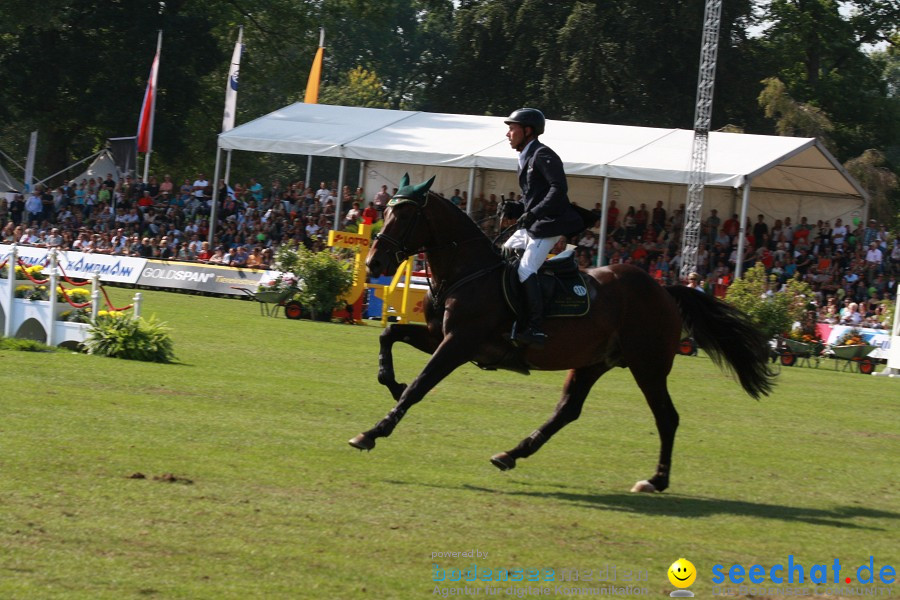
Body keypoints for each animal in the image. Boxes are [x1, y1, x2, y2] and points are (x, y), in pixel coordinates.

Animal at [348, 173, 768, 492]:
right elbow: (389, 336)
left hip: (647, 366)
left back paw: (655, 481)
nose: (375, 263)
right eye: (384, 212)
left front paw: (373, 431)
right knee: (568, 410)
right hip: (593, 362)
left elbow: (421, 386)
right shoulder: (441, 337)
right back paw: (511, 454)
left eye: (405, 216)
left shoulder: (457, 344)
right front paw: (392, 383)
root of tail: (664, 289)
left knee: (666, 418)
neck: (467, 272)